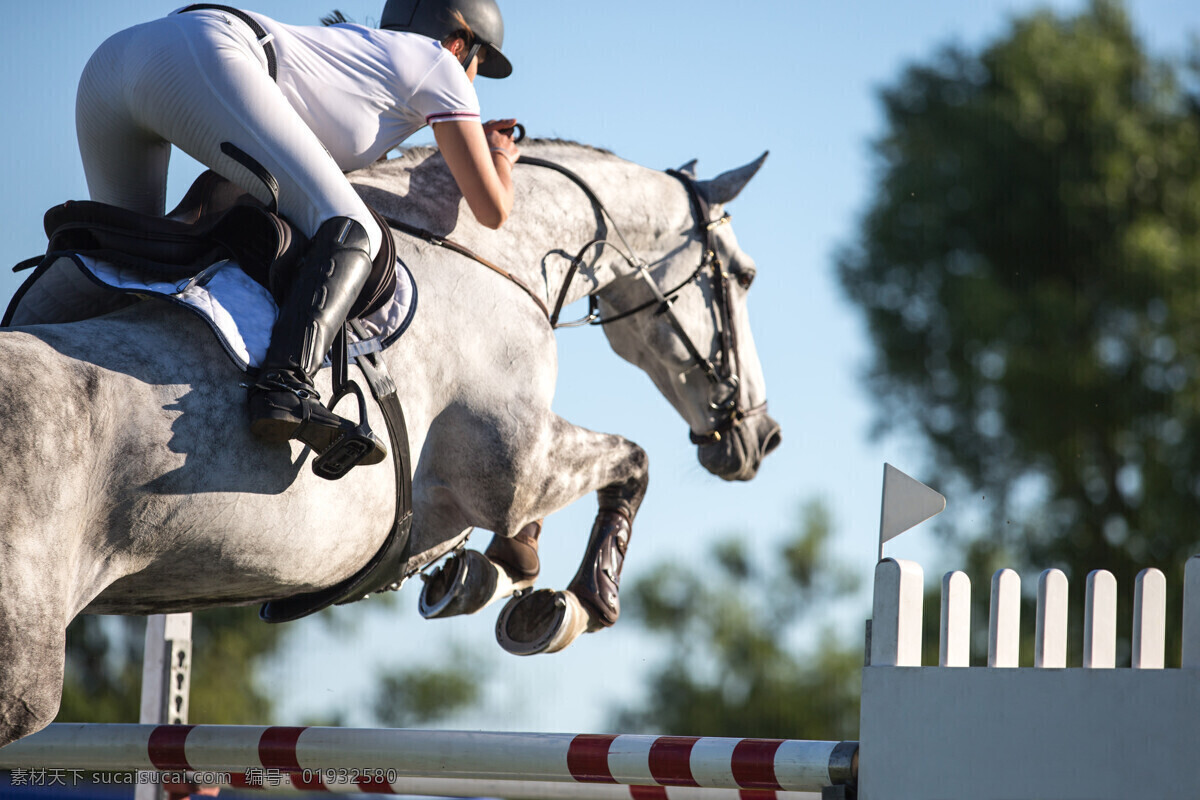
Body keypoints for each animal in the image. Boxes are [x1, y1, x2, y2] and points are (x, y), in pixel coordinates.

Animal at [0, 137, 777, 743]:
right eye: (742, 276)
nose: (762, 438)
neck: (491, 249)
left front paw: (494, 572)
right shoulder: (516, 466)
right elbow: (631, 462)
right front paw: (578, 603)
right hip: (24, 669)